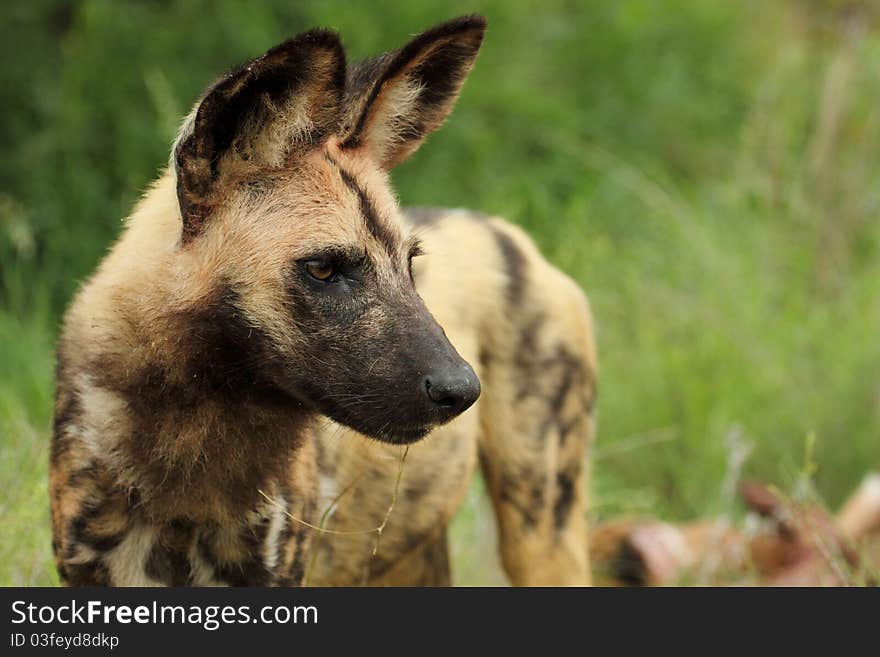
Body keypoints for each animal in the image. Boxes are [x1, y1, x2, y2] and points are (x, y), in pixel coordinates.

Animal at [48, 16, 600, 584]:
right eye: (323, 269)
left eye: (410, 263)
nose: (462, 390)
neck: (189, 434)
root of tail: (510, 234)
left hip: (540, 535)